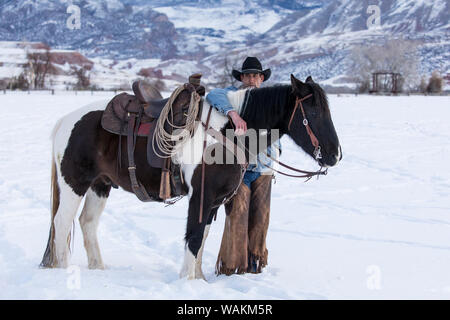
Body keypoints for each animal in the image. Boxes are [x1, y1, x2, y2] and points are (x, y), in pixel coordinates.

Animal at [40, 75, 342, 280]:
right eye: (313, 112)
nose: (335, 155)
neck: (227, 133)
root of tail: (65, 121)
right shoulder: (201, 196)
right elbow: (194, 237)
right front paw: (187, 281)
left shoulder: (213, 202)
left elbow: (203, 236)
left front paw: (199, 280)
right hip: (74, 184)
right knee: (62, 222)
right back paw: (64, 270)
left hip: (100, 185)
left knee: (87, 222)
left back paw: (99, 269)